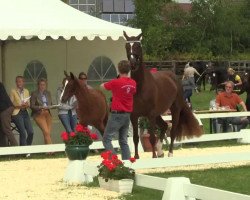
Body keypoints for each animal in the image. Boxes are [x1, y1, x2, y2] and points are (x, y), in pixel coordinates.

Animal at [123, 31, 203, 159]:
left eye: (138, 46)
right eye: (127, 46)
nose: (133, 63)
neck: (141, 87)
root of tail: (173, 77)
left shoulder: (150, 115)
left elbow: (151, 138)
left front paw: (154, 156)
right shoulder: (134, 116)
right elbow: (135, 138)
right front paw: (136, 157)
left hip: (174, 110)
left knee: (172, 131)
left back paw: (169, 153)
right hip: (158, 114)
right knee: (165, 126)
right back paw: (160, 151)